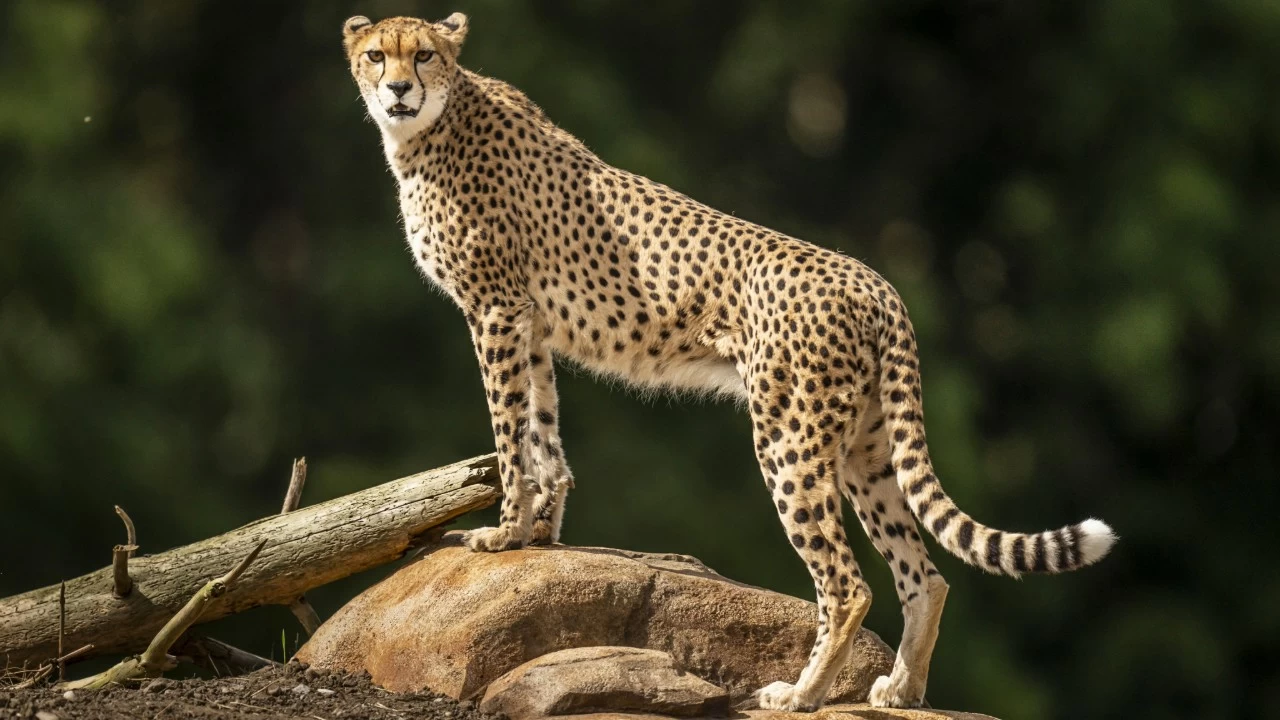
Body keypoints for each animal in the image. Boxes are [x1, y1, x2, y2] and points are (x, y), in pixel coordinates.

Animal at [341, 12, 1117, 712]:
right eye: (378, 54)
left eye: (426, 55)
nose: (399, 88)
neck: (431, 129)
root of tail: (876, 280)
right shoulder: (530, 326)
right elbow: (542, 430)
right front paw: (540, 533)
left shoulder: (496, 312)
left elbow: (509, 432)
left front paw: (502, 533)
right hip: (865, 449)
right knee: (924, 575)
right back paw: (900, 688)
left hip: (789, 437)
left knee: (846, 583)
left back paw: (802, 693)